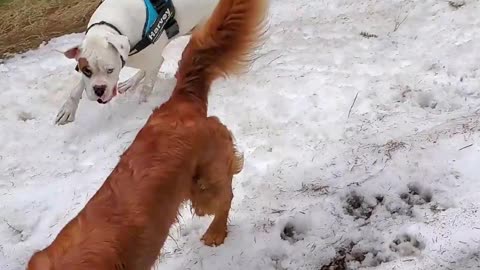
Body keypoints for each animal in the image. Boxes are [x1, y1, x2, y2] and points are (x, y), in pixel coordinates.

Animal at [56, 0, 219, 125]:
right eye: (86, 71)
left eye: (110, 70)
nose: (99, 90)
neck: (109, 27)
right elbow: (77, 88)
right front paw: (68, 109)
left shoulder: (154, 61)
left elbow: (146, 88)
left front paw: (141, 107)